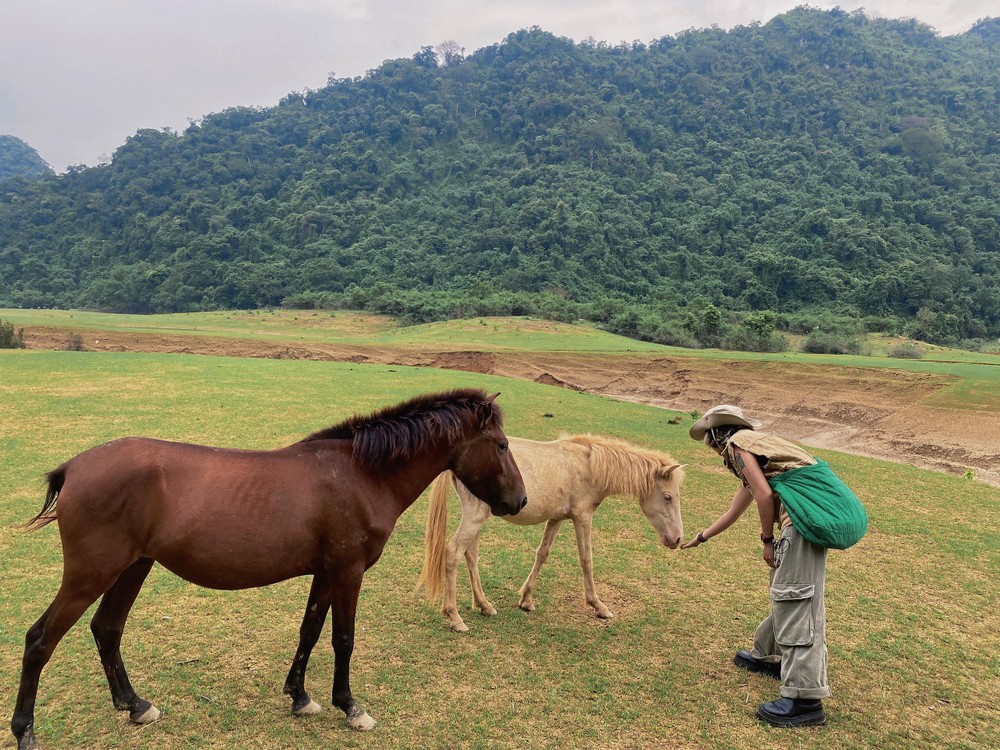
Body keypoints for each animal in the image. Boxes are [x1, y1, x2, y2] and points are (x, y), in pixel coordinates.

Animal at [11, 390, 528, 748]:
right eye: (502, 445)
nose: (520, 501)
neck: (361, 474)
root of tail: (75, 467)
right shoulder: (349, 572)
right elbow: (343, 639)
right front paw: (350, 707)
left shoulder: (326, 573)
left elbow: (310, 631)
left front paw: (300, 697)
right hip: (91, 574)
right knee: (40, 640)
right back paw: (25, 730)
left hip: (132, 567)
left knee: (107, 628)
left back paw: (136, 706)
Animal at [418, 434, 684, 636]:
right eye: (668, 497)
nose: (677, 539)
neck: (588, 465)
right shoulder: (582, 517)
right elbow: (586, 560)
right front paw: (598, 606)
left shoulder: (556, 518)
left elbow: (542, 554)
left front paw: (526, 600)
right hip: (474, 517)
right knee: (453, 554)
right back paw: (455, 618)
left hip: (477, 518)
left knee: (471, 556)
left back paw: (484, 605)